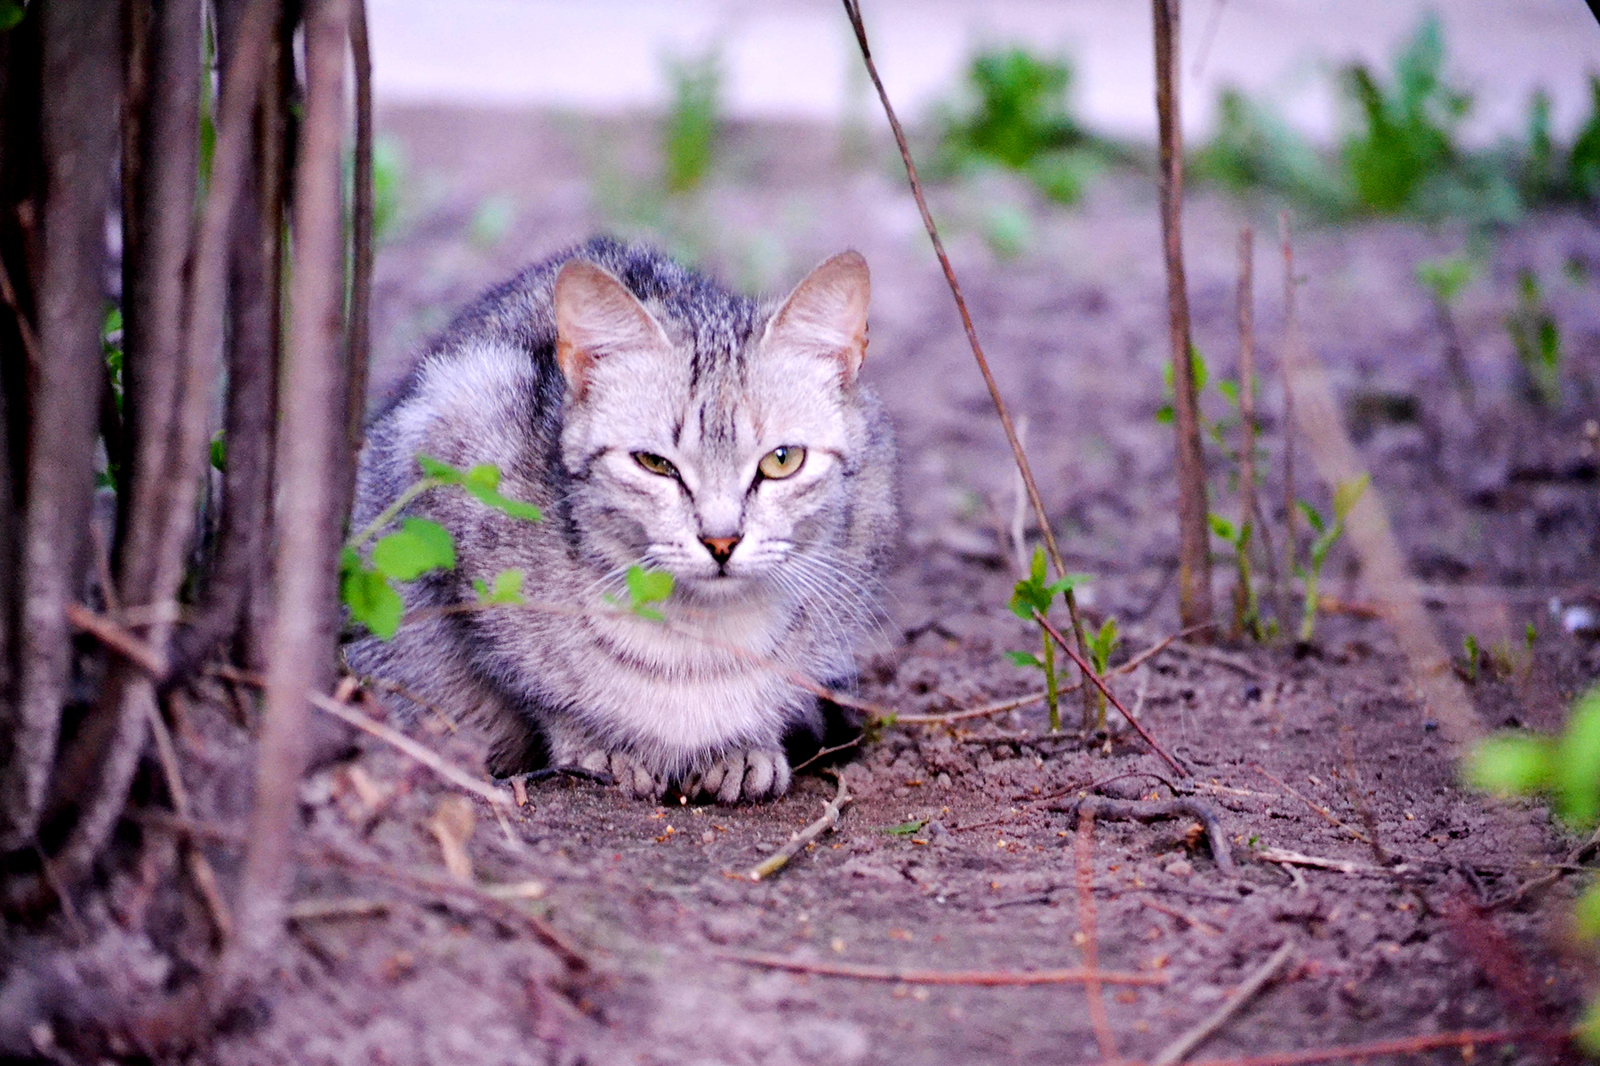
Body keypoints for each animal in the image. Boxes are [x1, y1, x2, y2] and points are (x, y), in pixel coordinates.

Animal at [348, 236, 896, 800]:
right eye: (654, 463)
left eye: (782, 460)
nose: (721, 541)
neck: (695, 641)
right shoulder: (452, 447)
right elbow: (528, 680)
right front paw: (599, 744)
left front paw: (746, 745)